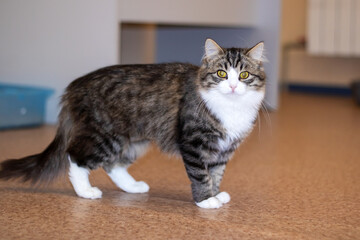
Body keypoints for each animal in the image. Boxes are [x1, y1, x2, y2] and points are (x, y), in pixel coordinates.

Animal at [0, 39, 266, 208]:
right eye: (222, 74)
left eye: (244, 75)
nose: (232, 86)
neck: (231, 108)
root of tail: (74, 85)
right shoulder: (193, 143)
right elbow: (201, 175)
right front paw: (206, 200)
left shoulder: (224, 150)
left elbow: (216, 174)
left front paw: (217, 194)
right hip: (105, 137)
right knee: (75, 156)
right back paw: (86, 192)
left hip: (134, 142)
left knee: (113, 165)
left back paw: (133, 187)